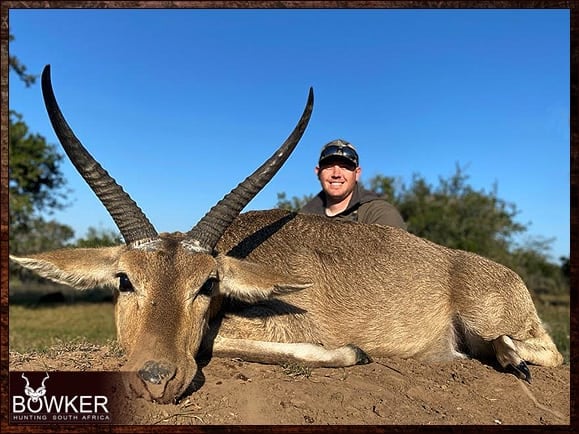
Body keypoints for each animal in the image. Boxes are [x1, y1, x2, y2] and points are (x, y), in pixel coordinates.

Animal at [9, 64, 560, 404]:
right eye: (125, 281)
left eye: (206, 285)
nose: (156, 379)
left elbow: (215, 343)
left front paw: (354, 352)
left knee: (545, 351)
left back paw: (509, 356)